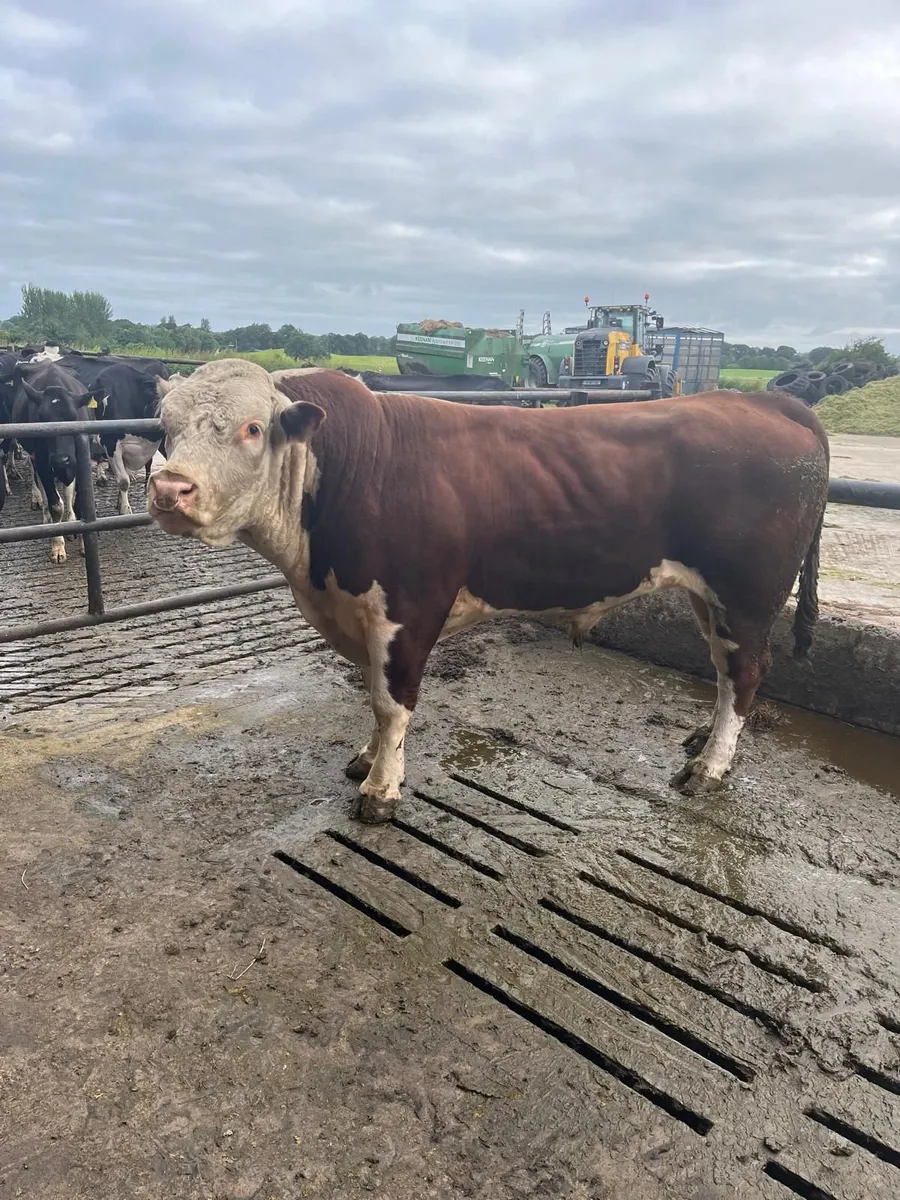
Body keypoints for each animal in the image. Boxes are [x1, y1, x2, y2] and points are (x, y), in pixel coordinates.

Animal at [9, 361, 103, 562]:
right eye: (41, 419)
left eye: (74, 417)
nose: (61, 459)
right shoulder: (44, 462)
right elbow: (55, 505)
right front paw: (58, 546)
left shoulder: (80, 461)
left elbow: (79, 501)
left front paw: (83, 542)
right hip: (34, 457)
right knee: (39, 482)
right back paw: (45, 514)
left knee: (67, 492)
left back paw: (70, 519)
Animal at [148, 360, 830, 823]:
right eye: (164, 427)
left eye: (251, 428)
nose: (170, 490)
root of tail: (770, 402)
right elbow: (373, 696)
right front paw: (368, 758)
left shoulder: (409, 609)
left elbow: (391, 703)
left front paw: (381, 790)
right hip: (710, 597)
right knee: (723, 669)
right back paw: (703, 738)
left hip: (748, 595)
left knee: (745, 672)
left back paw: (710, 765)